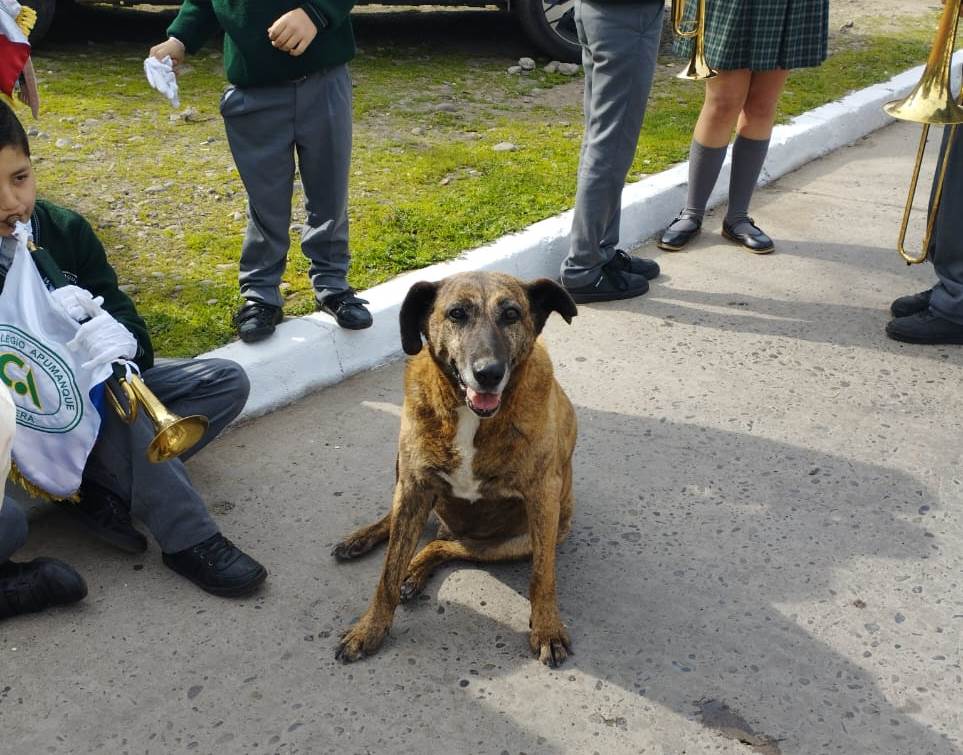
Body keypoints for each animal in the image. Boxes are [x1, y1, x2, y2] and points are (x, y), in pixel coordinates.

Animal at [332, 274, 580, 668]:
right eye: (456, 314)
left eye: (512, 314)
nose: (488, 374)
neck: (468, 416)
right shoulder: (415, 486)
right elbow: (388, 572)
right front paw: (369, 629)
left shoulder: (542, 497)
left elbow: (543, 576)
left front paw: (547, 628)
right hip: (404, 471)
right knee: (406, 523)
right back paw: (365, 539)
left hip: (514, 541)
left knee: (444, 544)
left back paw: (417, 568)